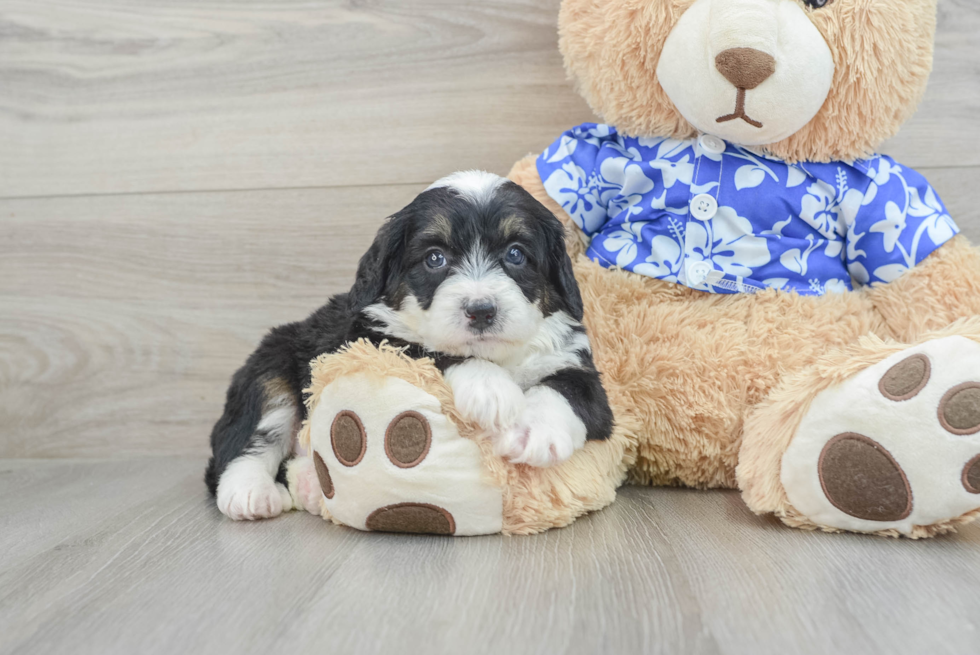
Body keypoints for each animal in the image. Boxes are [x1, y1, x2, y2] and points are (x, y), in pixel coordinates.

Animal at [207, 172, 612, 520]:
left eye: (515, 254)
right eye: (435, 258)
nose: (481, 310)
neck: (497, 356)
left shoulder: (579, 366)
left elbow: (568, 388)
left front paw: (535, 430)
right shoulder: (369, 338)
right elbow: (428, 349)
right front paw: (491, 390)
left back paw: (307, 483)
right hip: (270, 366)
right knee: (250, 440)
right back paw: (250, 493)